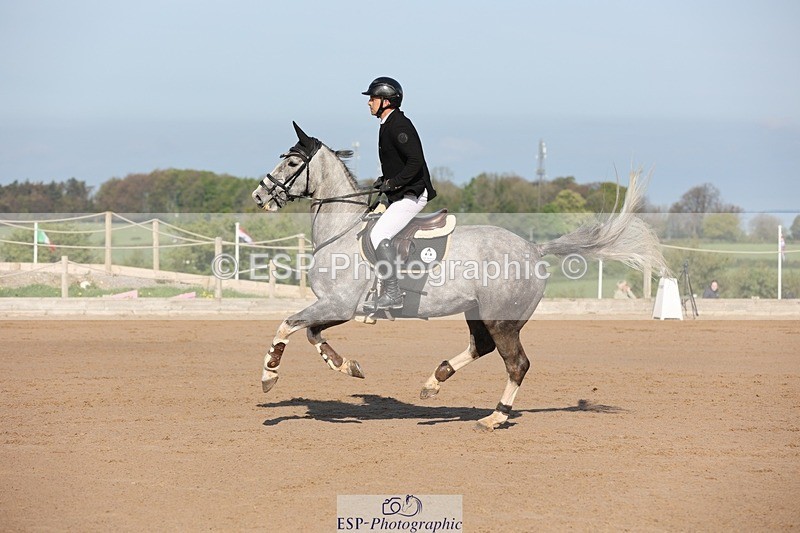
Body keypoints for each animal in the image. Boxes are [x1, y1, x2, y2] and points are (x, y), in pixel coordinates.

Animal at [252, 122, 668, 431]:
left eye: (292, 162)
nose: (259, 196)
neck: (343, 231)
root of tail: (534, 250)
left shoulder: (339, 304)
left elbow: (288, 324)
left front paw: (269, 376)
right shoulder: (335, 307)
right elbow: (311, 333)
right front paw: (348, 367)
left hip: (502, 319)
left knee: (517, 363)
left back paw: (494, 417)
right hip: (477, 312)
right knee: (481, 348)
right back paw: (434, 382)